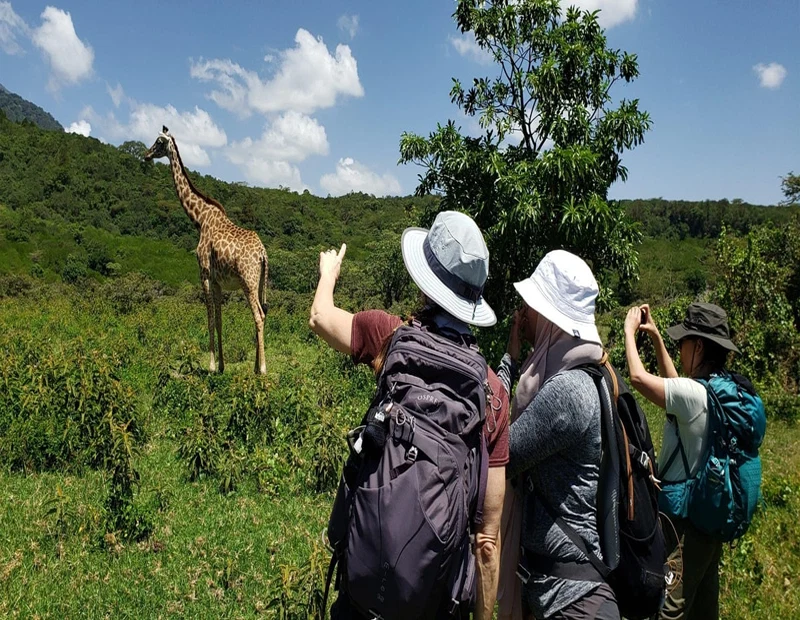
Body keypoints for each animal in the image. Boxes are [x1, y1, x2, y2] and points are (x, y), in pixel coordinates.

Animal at [144, 126, 268, 374]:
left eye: (159, 142)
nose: (146, 154)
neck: (199, 219)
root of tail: (263, 254)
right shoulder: (218, 281)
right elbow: (219, 320)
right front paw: (221, 365)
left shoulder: (204, 274)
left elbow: (209, 318)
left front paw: (211, 366)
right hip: (259, 283)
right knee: (261, 315)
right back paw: (253, 366)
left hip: (248, 282)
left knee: (259, 315)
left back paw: (262, 369)